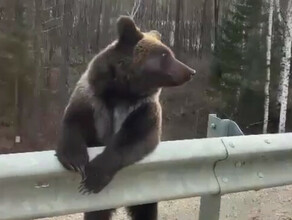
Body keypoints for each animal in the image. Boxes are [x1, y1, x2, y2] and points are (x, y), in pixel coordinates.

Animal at [54, 15, 196, 220]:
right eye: (165, 55)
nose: (190, 71)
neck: (123, 92)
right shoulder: (92, 100)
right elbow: (74, 122)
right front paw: (75, 161)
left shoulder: (143, 109)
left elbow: (135, 138)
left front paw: (94, 176)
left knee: (145, 209)